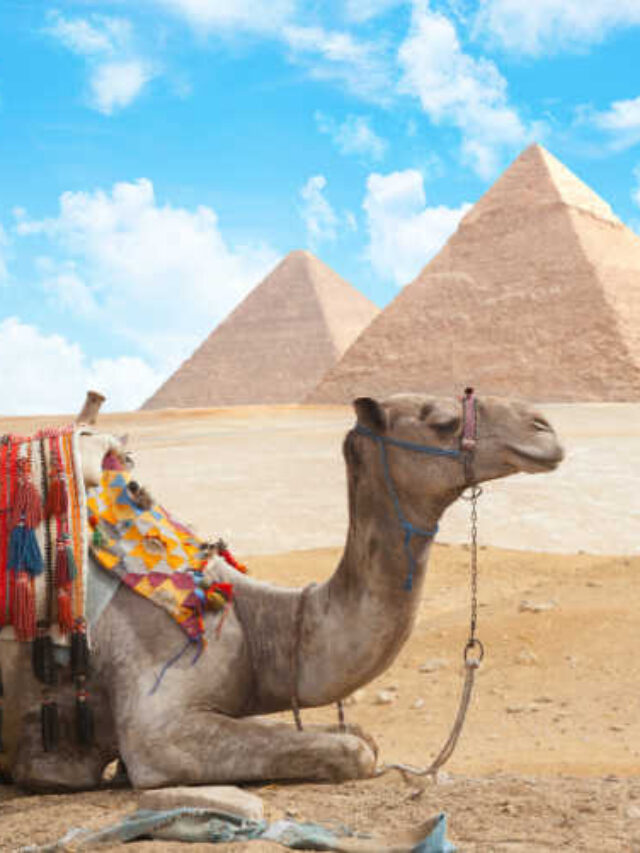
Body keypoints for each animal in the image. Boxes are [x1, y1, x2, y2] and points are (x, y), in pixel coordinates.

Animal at [2, 391, 563, 791]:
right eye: (441, 420)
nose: (544, 427)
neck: (253, 621)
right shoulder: (157, 727)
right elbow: (356, 752)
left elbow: (358, 735)